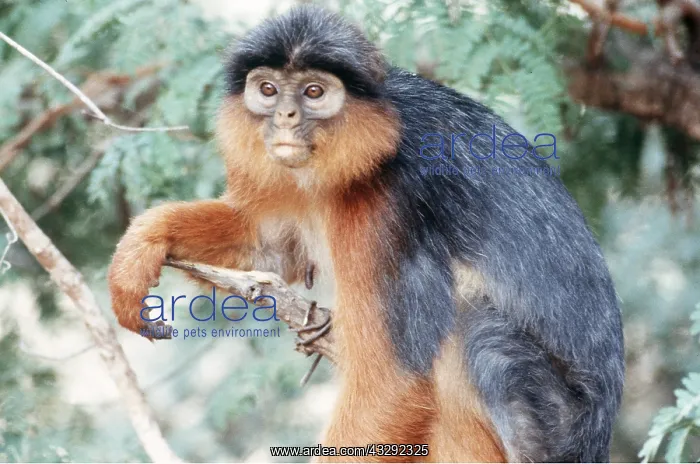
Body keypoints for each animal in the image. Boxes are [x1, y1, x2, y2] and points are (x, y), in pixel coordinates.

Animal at [107, 6, 625, 463]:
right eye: (268, 89)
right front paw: (144, 242)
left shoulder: (385, 204)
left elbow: (392, 383)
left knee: (477, 332)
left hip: (552, 429)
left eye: (314, 91)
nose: (286, 118)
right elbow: (271, 251)